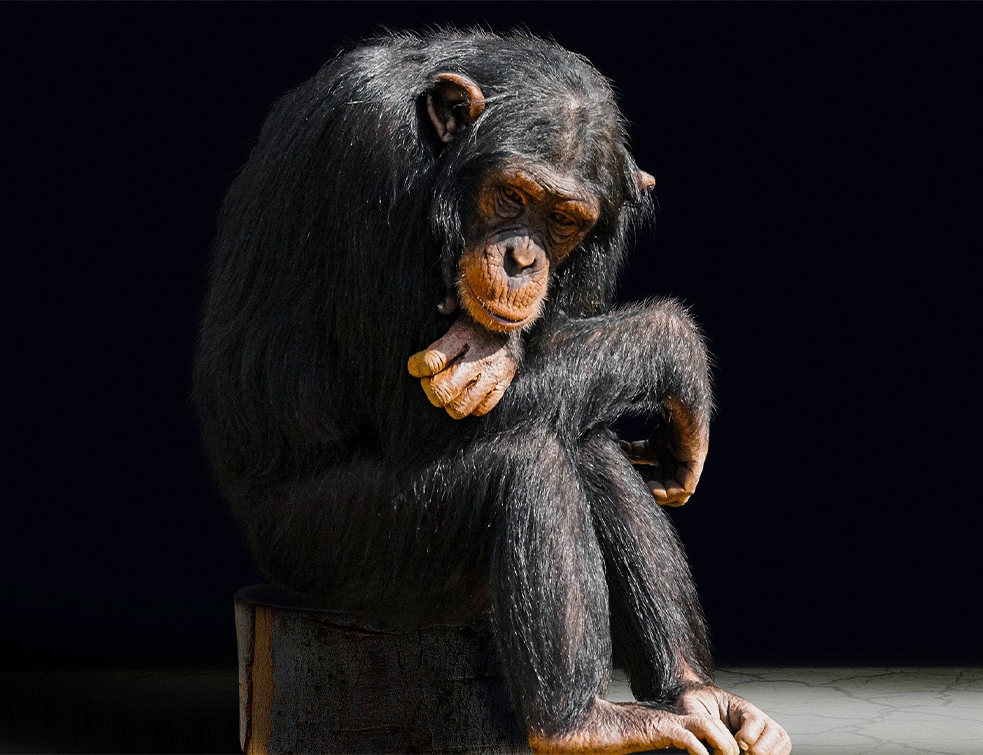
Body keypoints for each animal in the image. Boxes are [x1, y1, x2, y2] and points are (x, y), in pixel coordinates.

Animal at [194, 29, 792, 755]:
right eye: (512, 195)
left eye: (564, 220)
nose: (522, 259)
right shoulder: (370, 153)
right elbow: (415, 421)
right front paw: (677, 348)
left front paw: (493, 353)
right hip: (334, 551)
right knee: (527, 459)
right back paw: (577, 723)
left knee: (587, 443)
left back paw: (693, 692)